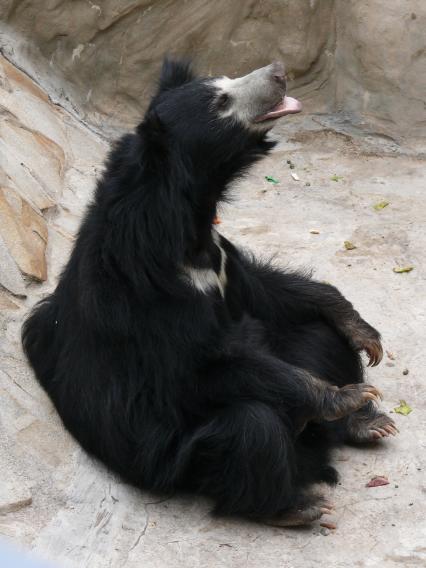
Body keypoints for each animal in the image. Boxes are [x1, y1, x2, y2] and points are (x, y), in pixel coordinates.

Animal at [22, 57, 396, 524]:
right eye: (221, 102)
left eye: (226, 81)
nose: (278, 71)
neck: (186, 222)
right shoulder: (150, 296)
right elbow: (206, 363)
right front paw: (346, 395)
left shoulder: (219, 259)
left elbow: (264, 290)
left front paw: (364, 334)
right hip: (182, 458)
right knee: (253, 427)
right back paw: (297, 505)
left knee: (319, 336)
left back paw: (368, 424)